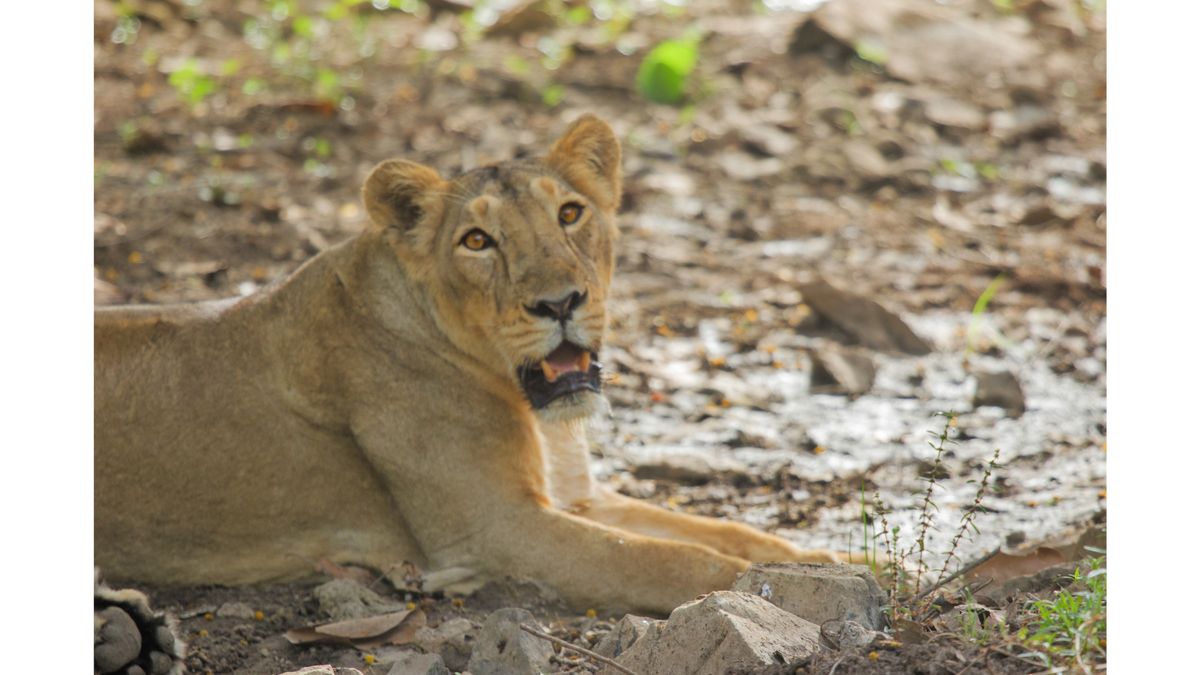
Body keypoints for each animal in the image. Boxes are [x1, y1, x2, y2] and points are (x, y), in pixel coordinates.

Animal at [95, 115, 839, 615]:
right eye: (477, 241)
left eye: (571, 213)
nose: (561, 302)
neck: (531, 408)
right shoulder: (492, 531)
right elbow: (676, 559)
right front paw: (801, 591)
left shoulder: (578, 496)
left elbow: (728, 531)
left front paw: (833, 561)